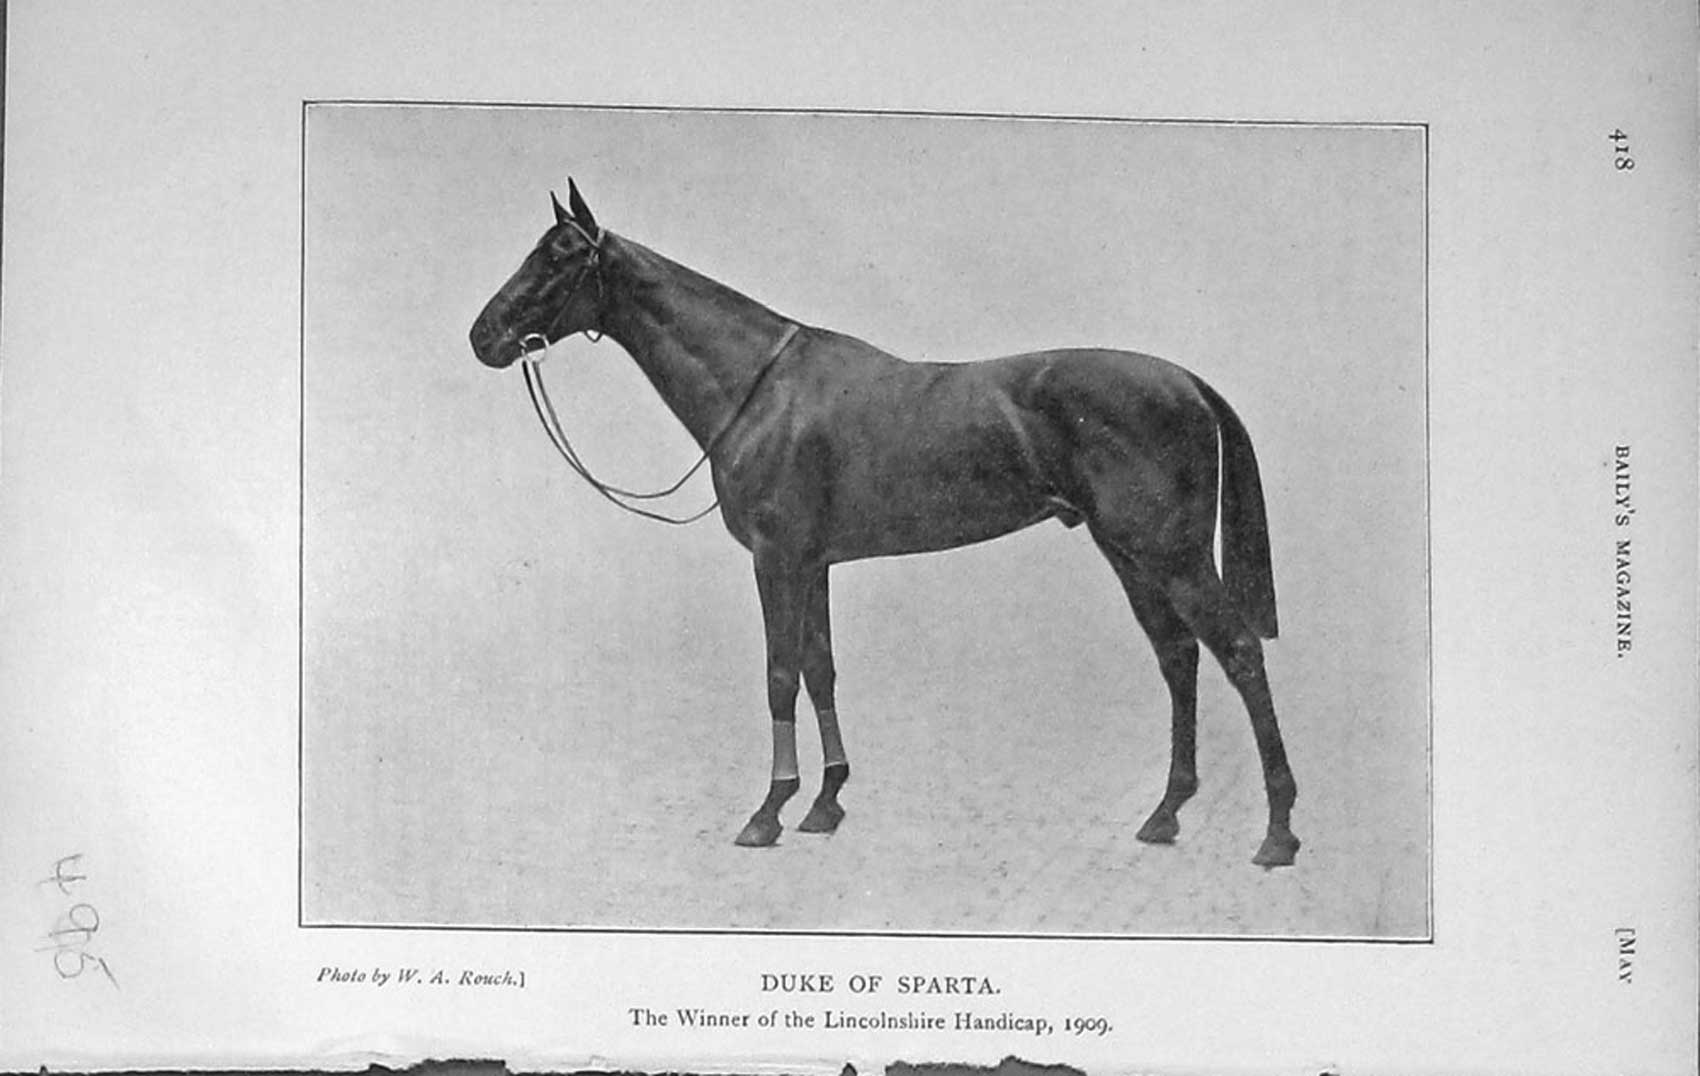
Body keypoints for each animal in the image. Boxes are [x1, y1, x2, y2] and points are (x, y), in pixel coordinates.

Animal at [469, 180, 1300, 867]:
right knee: (1178, 658)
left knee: (1236, 654)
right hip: (1127, 551)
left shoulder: (776, 558)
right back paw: (1165, 815)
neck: (759, 391)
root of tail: (1186, 382)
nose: (483, 336)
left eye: (559, 259)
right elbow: (820, 668)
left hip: (1171, 553)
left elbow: (778, 675)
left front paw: (767, 812)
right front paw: (825, 802)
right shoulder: (813, 562)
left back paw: (1278, 833)